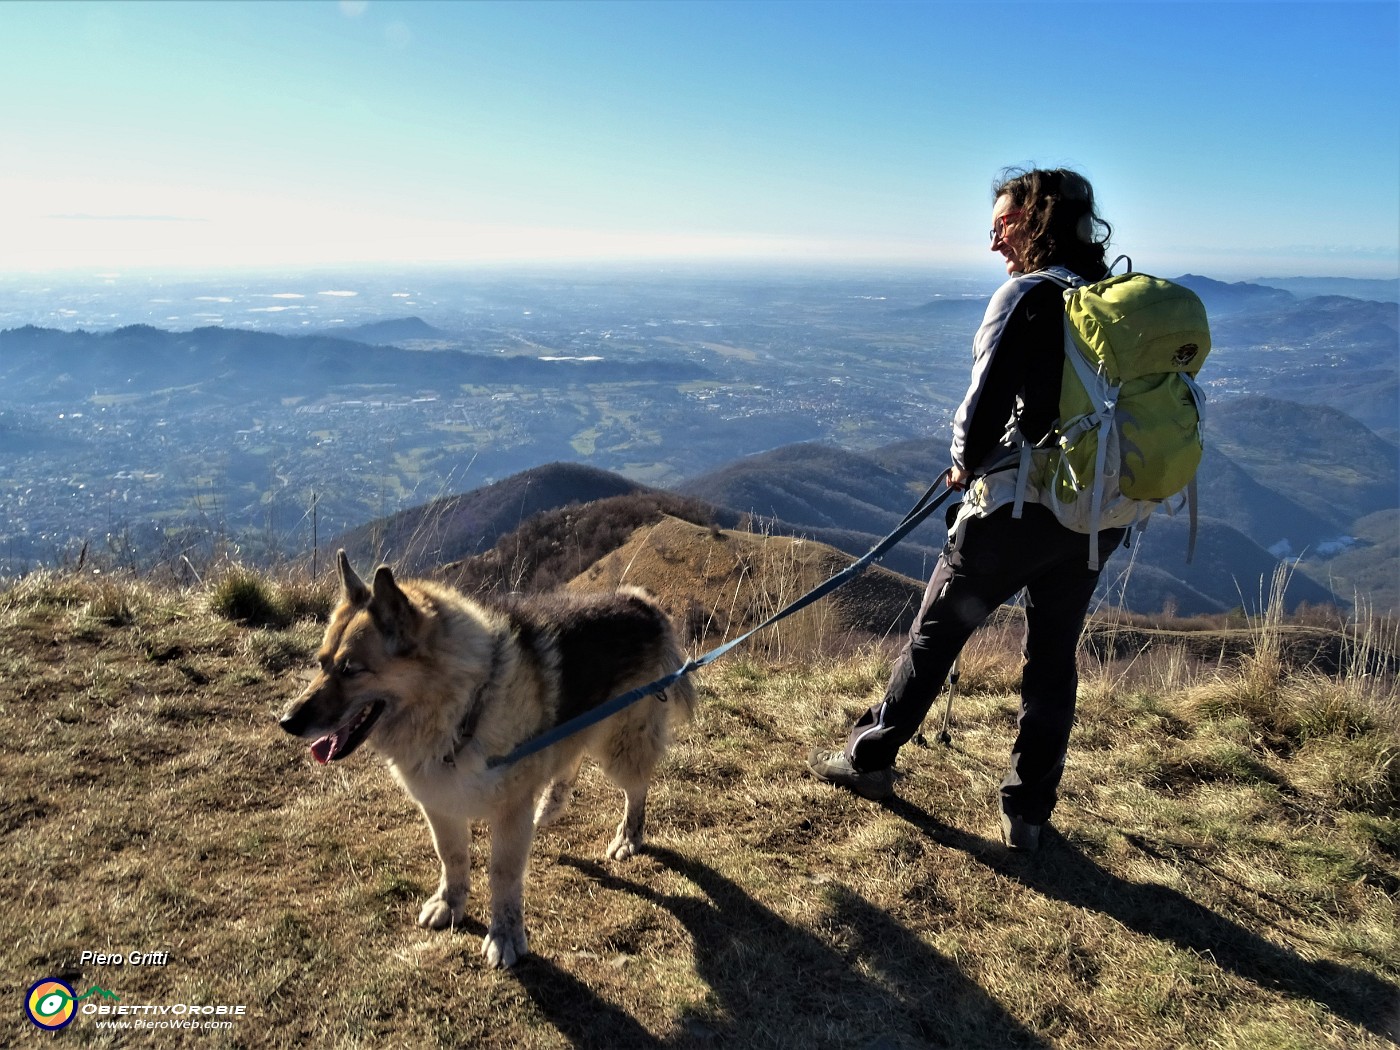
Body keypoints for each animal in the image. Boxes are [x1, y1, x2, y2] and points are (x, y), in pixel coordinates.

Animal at [281, 551, 697, 968]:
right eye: (321, 663)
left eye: (351, 670)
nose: (287, 721)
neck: (464, 707)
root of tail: (639, 602)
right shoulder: (440, 806)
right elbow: (451, 857)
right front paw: (450, 902)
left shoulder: (509, 814)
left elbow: (503, 874)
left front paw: (505, 933)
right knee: (569, 758)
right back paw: (551, 804)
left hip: (621, 745)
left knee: (636, 789)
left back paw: (628, 835)